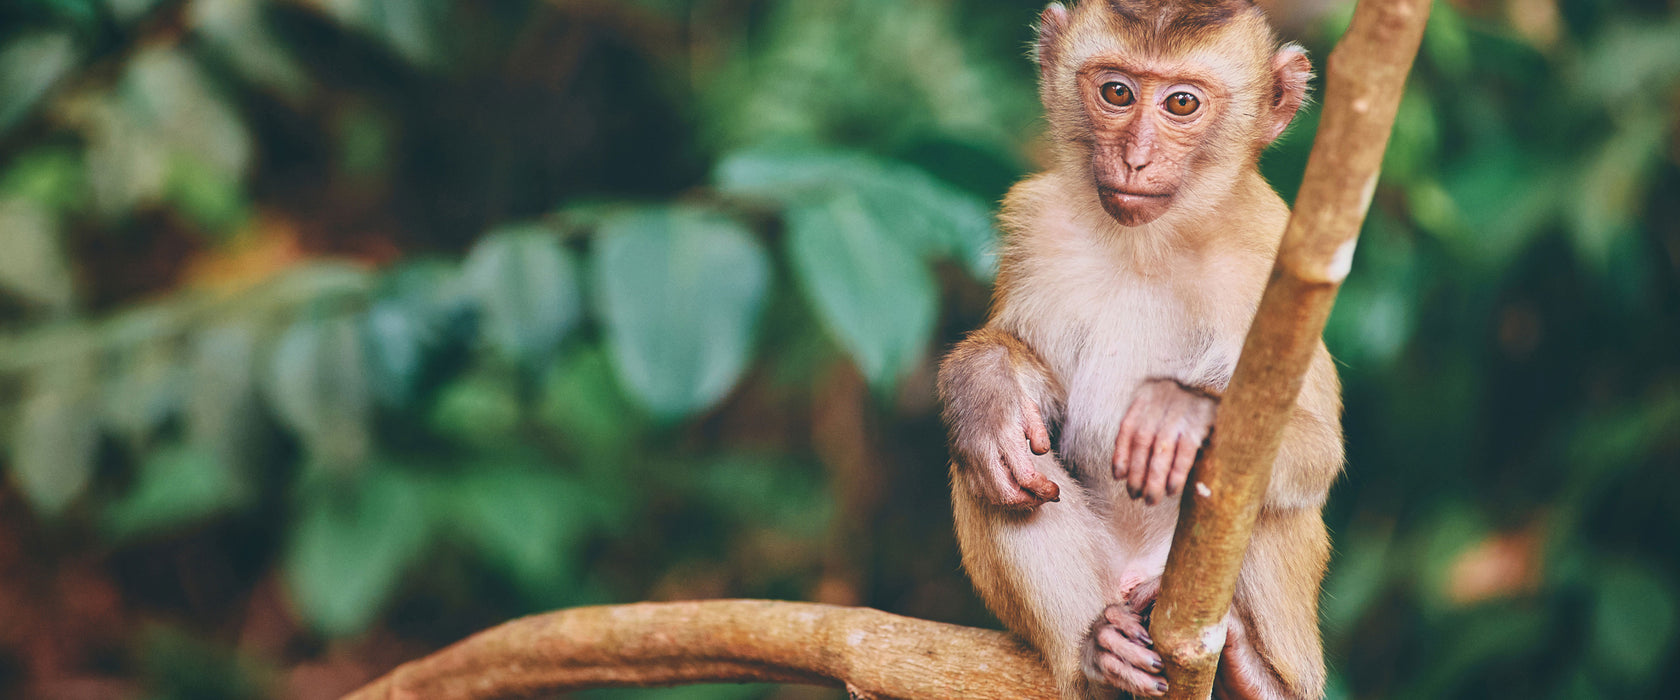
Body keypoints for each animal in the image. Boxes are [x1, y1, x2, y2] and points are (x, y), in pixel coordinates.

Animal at [940, 1, 1344, 698]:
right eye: (1117, 93)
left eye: (1181, 103)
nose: (1135, 158)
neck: (1150, 244)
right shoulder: (1036, 225)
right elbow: (1029, 387)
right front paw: (983, 384)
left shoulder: (1274, 264)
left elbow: (1319, 450)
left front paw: (1184, 414)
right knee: (995, 471)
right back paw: (1101, 660)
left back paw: (1253, 676)